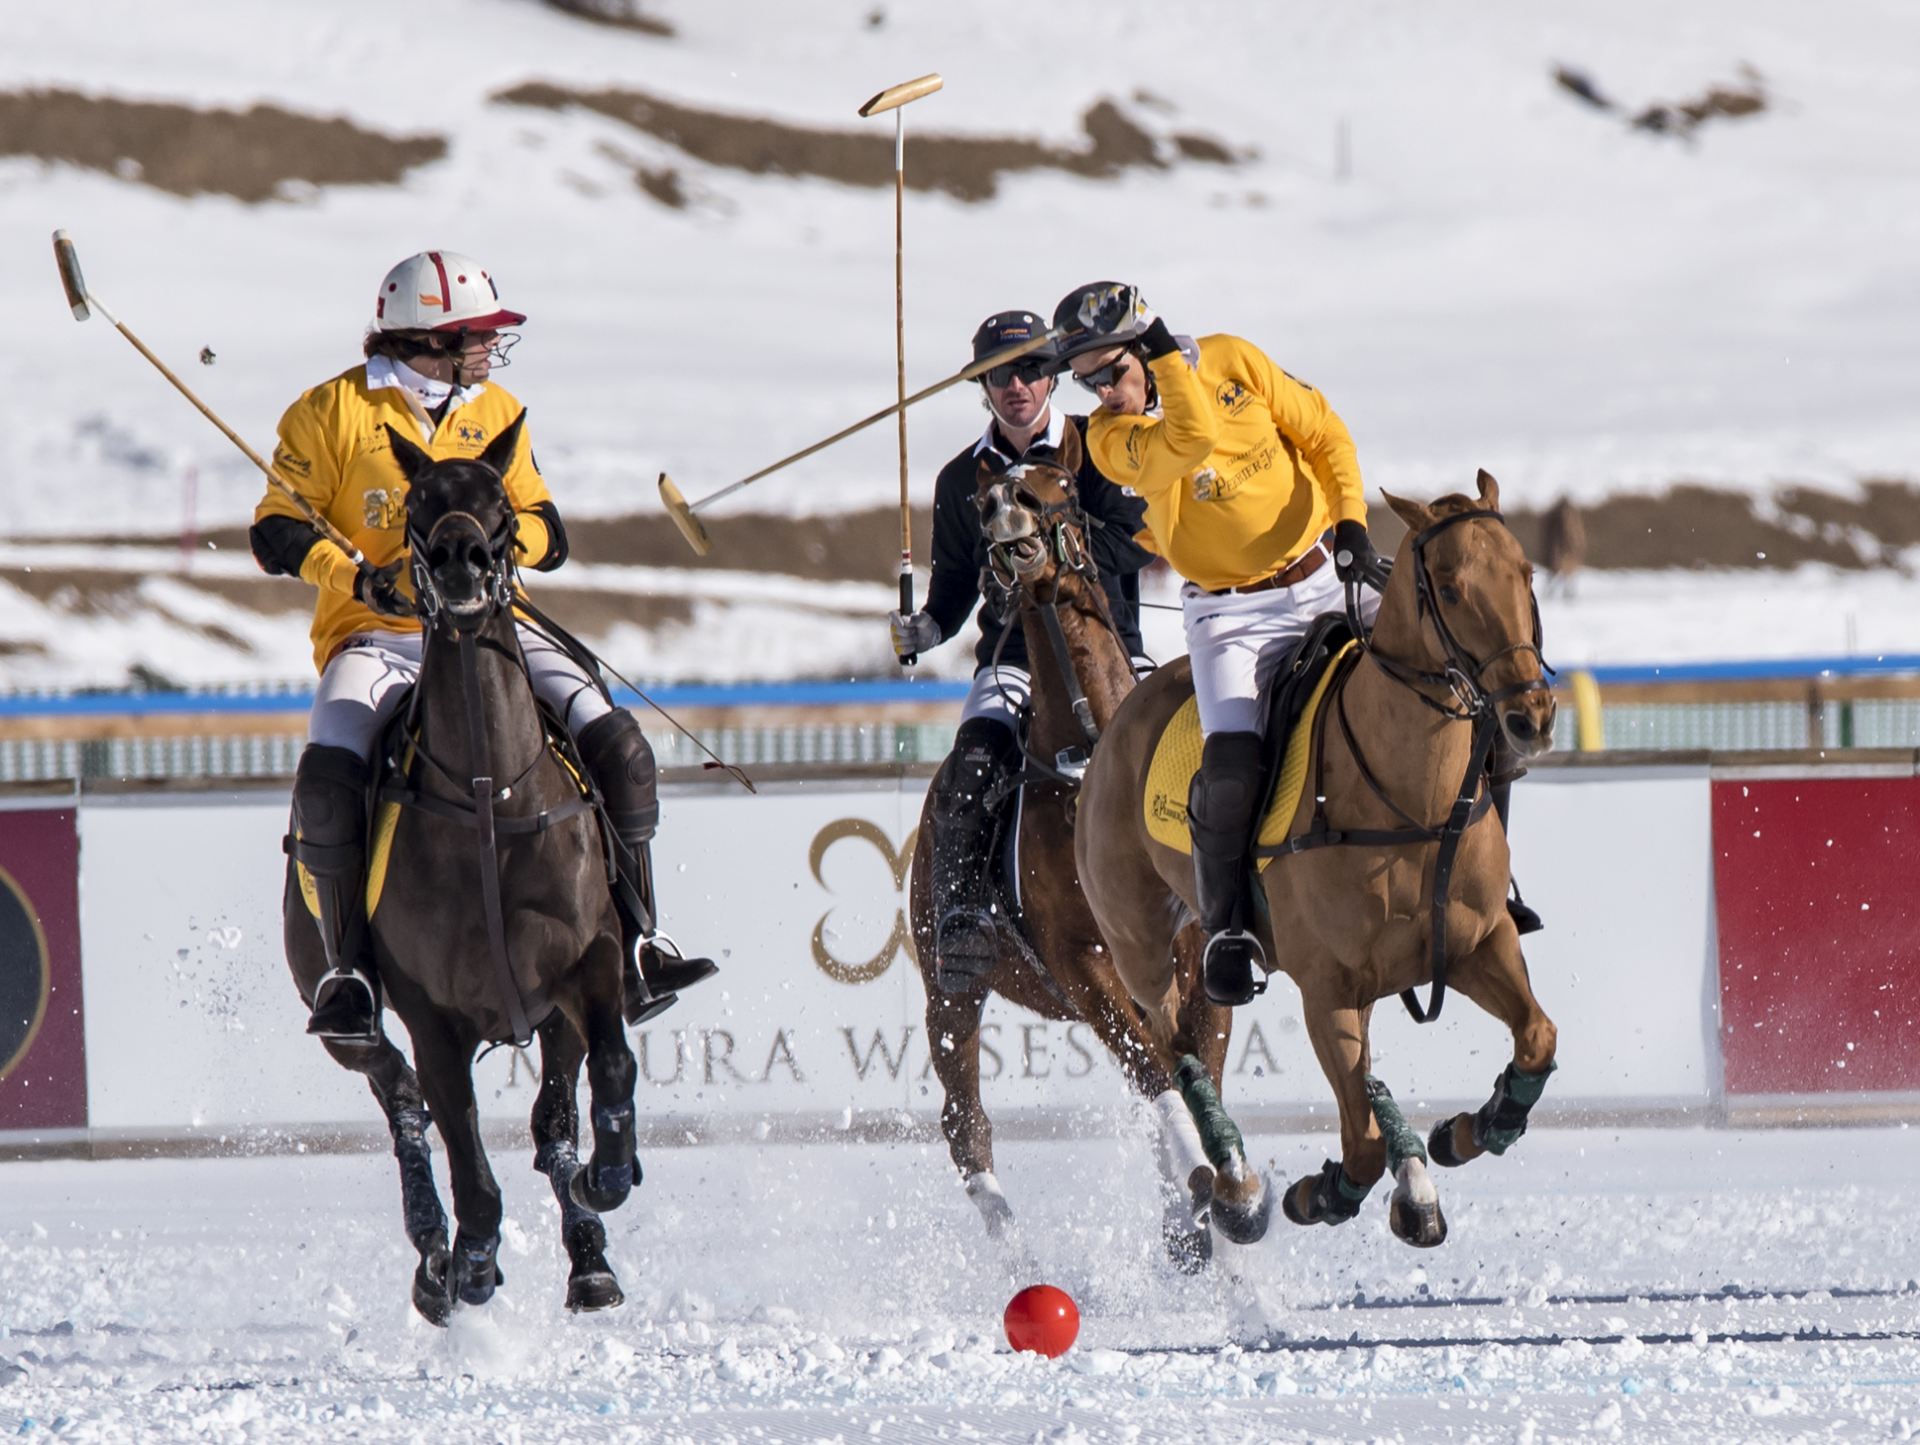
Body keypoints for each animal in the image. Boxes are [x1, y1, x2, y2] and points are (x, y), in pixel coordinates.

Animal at [284, 416, 641, 1320]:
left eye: (502, 506)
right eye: (416, 505)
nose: (460, 561)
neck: (489, 794)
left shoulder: (588, 965)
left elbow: (609, 1070)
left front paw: (608, 1177)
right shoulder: (430, 1012)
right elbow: (464, 1153)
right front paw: (473, 1259)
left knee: (551, 1121)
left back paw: (588, 1256)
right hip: (343, 1012)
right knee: (404, 1106)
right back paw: (437, 1258)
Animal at [902, 426, 1267, 1258]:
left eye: (1061, 484)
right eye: (980, 498)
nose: (1007, 516)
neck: (1089, 747)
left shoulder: (1194, 965)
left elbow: (1195, 1076)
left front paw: (1227, 1202)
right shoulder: (1084, 965)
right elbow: (1164, 1084)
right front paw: (1206, 1197)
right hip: (950, 983)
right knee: (965, 1119)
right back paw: (1016, 1245)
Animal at [1082, 475, 1559, 1251]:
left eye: (1526, 574)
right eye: (1449, 588)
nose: (1532, 717)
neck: (1408, 801)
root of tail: (1120, 710)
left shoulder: (1477, 943)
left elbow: (1537, 1039)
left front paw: (1473, 1126)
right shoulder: (1326, 989)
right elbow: (1357, 1146)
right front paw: (1320, 1193)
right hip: (1139, 947)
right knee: (1170, 1046)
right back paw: (1235, 1181)